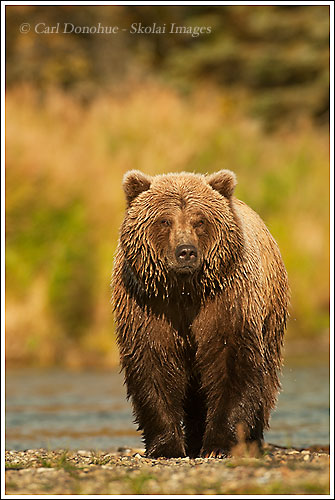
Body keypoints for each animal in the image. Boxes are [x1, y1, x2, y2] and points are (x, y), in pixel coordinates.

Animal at [111, 170, 290, 458]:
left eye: (199, 221)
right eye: (165, 220)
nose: (186, 251)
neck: (185, 290)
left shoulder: (227, 298)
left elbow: (231, 360)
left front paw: (219, 445)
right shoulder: (149, 305)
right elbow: (152, 361)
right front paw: (166, 446)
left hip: (271, 311)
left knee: (266, 378)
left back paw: (251, 438)